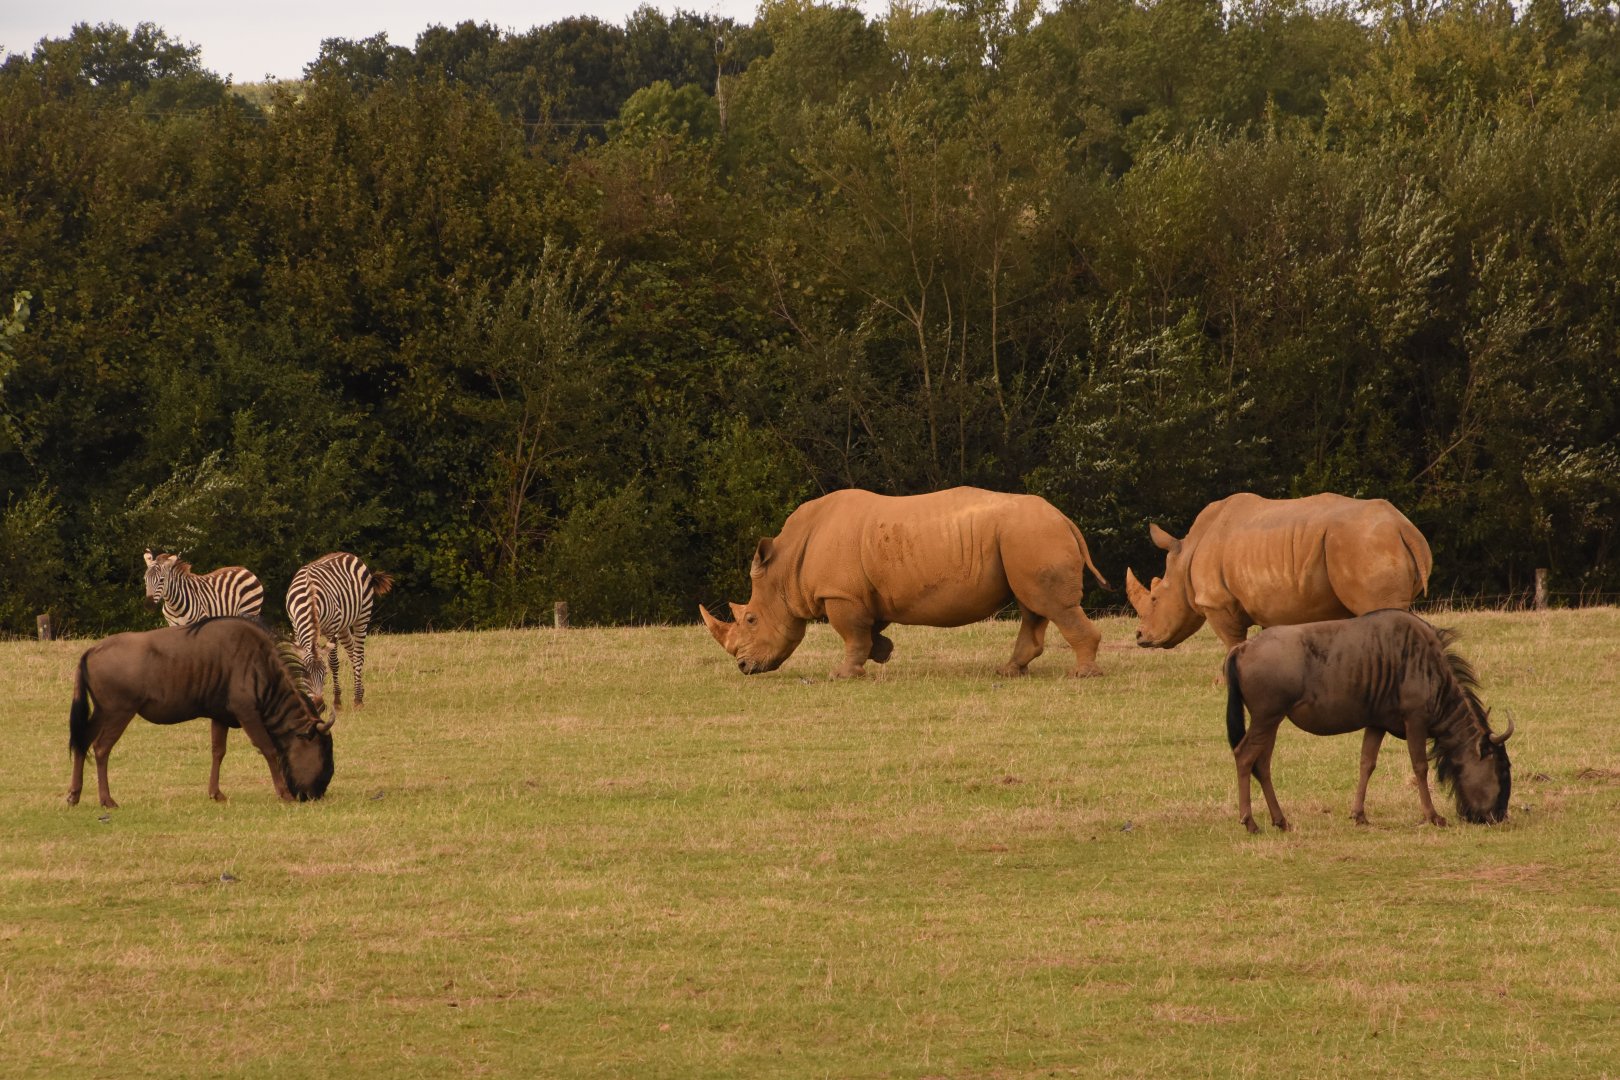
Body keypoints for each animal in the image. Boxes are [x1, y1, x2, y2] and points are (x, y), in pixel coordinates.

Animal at [700, 487, 1110, 679]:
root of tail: (1063, 518)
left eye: (751, 619)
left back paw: (1081, 675)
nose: (744, 667)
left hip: (1031, 534)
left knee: (1051, 605)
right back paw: (1009, 672)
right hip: (1024, 538)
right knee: (1033, 606)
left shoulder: (841, 594)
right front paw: (882, 652)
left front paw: (842, 674)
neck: (785, 567)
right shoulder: (861, 593)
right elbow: (868, 630)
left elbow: (851, 635)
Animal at [1126, 492, 1432, 652]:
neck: (1186, 556)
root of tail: (1404, 527)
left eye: (1154, 599)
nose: (1140, 636)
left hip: (1363, 543)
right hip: (1371, 542)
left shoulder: (1217, 601)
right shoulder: (1271, 600)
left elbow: (1232, 642)